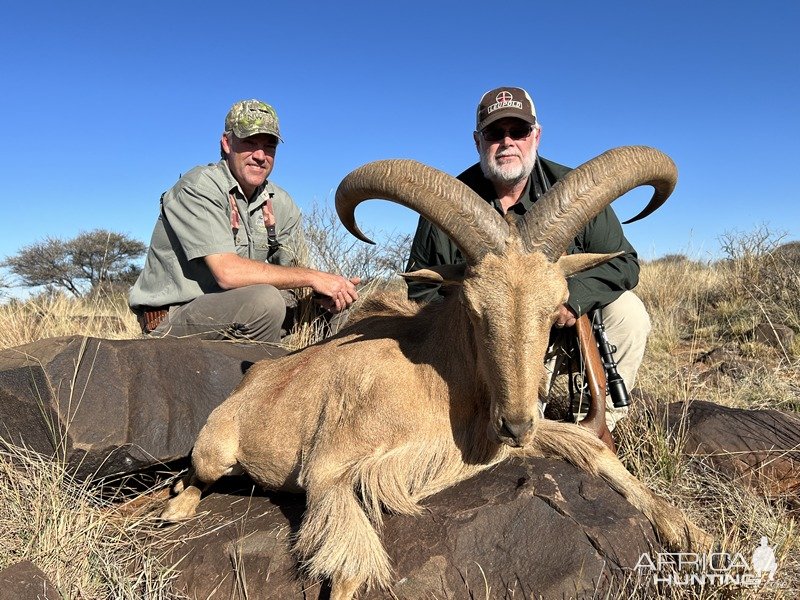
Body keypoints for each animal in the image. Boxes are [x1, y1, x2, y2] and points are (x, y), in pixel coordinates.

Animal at [159, 146, 708, 600]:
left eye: (557, 306)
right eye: (473, 308)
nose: (515, 424)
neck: (438, 383)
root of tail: (251, 380)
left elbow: (595, 451)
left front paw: (692, 533)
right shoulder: (331, 470)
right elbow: (350, 568)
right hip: (215, 451)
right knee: (194, 476)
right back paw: (173, 508)